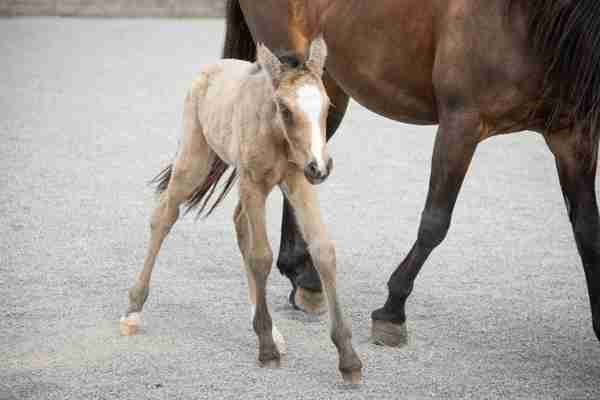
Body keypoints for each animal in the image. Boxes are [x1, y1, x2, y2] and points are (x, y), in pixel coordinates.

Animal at [119, 38, 358, 384]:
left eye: (327, 107)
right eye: (285, 109)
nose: (320, 167)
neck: (275, 134)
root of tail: (213, 67)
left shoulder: (297, 180)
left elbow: (323, 250)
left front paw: (349, 360)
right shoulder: (253, 181)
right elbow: (261, 257)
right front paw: (267, 351)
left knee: (239, 224)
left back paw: (270, 329)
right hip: (195, 159)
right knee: (165, 215)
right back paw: (133, 311)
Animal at [220, 0, 600, 346]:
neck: (525, 18)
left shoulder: (572, 138)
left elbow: (588, 232)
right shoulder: (461, 123)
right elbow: (435, 222)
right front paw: (392, 310)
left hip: (324, 88)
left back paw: (304, 278)